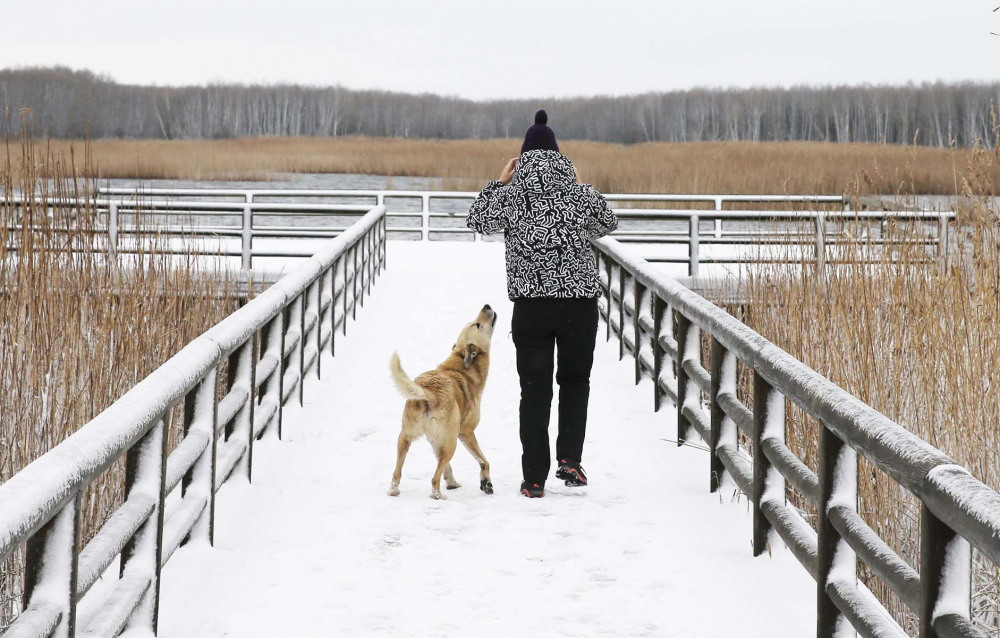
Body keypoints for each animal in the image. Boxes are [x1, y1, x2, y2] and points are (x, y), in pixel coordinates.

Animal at [390, 304, 500, 500]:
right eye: (477, 325)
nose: (486, 305)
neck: (462, 364)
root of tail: (428, 393)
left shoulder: (436, 438)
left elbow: (445, 466)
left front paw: (452, 483)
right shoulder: (466, 432)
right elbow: (483, 460)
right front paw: (486, 482)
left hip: (405, 438)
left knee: (397, 472)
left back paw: (394, 490)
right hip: (452, 443)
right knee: (434, 478)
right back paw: (438, 496)